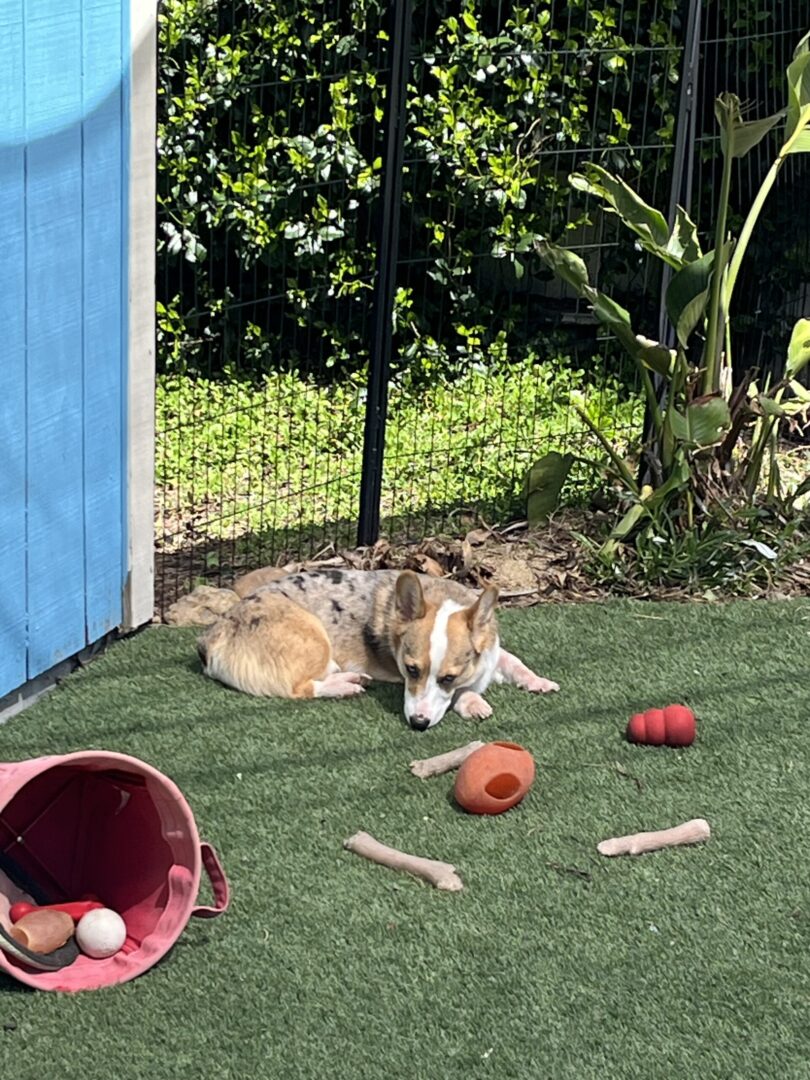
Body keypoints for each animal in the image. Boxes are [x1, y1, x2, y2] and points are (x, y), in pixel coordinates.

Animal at [199, 565, 561, 734]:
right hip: (315, 638)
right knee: (301, 687)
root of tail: (212, 637)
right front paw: (473, 703)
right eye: (411, 670)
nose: (417, 723)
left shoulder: (492, 654)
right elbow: (465, 693)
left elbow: (513, 662)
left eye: (448, 676)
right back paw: (345, 685)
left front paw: (539, 682)